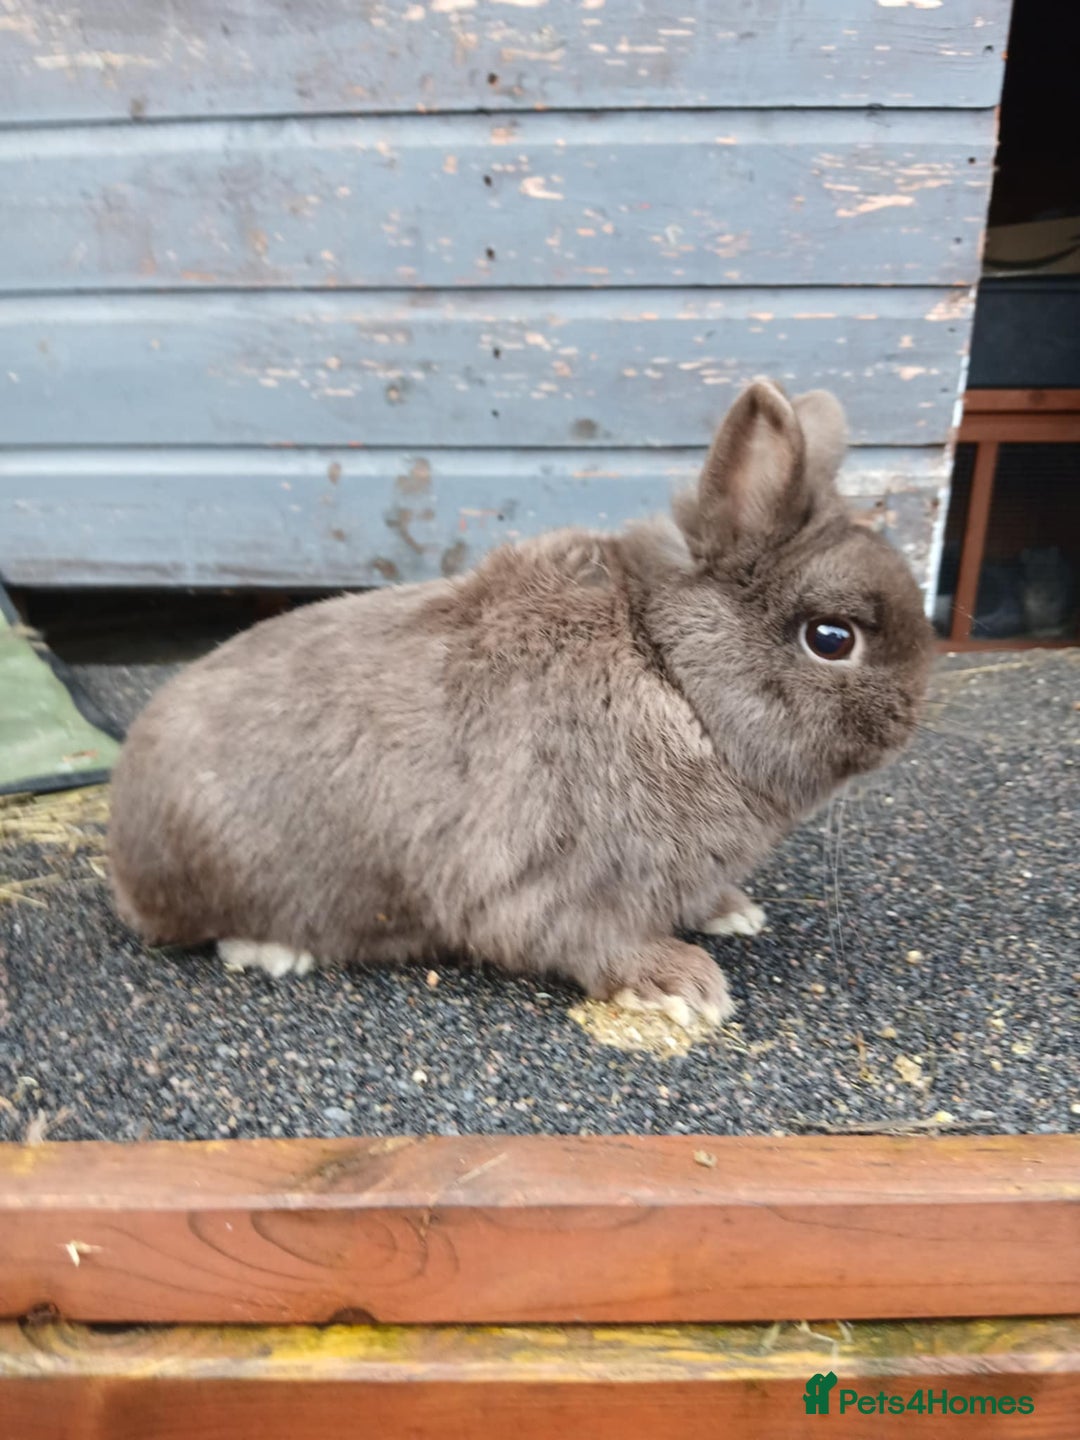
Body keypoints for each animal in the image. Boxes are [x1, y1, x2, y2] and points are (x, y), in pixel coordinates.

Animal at [108, 378, 934, 1028]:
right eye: (831, 639)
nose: (911, 724)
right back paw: (276, 951)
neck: (672, 676)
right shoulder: (554, 877)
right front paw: (686, 984)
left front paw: (733, 911)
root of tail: (125, 852)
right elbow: (587, 939)